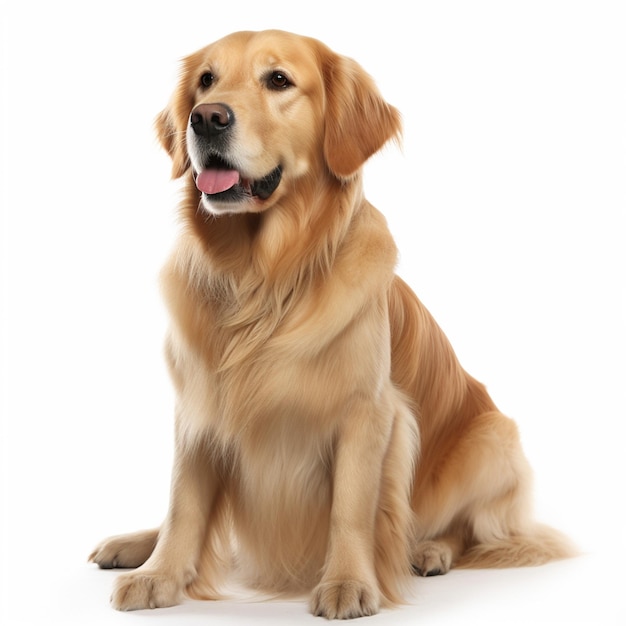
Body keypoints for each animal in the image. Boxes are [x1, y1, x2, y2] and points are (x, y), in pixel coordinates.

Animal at [89, 30, 576, 620]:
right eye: (206, 80)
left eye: (278, 80)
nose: (206, 118)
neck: (263, 279)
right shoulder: (199, 406)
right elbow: (184, 501)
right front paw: (159, 574)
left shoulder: (369, 411)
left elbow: (352, 505)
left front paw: (348, 582)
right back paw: (134, 544)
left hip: (492, 440)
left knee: (471, 527)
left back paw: (430, 549)